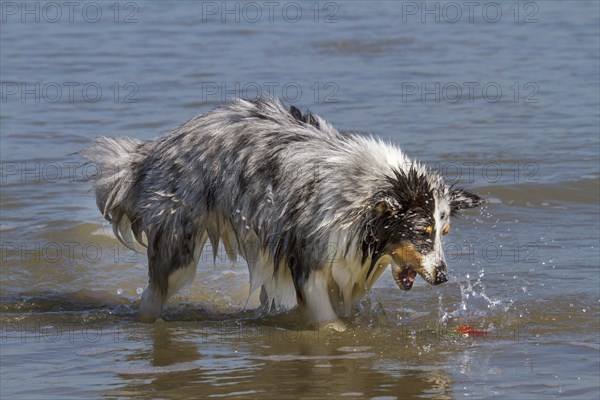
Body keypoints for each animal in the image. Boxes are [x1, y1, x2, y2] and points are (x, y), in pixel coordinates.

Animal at [81, 98, 482, 326]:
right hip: (179, 247)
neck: (363, 195)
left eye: (443, 234)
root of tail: (151, 151)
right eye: (422, 233)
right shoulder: (309, 260)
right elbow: (327, 322)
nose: (444, 277)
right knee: (153, 294)